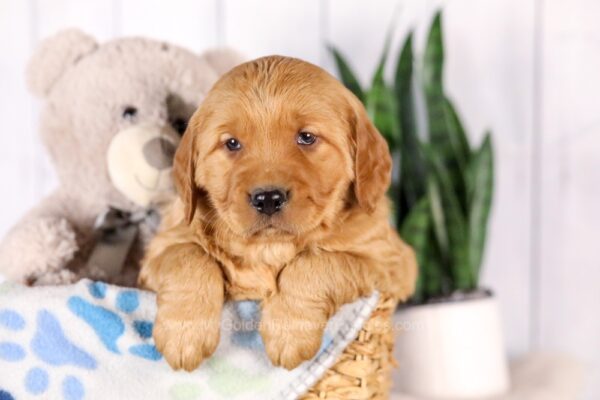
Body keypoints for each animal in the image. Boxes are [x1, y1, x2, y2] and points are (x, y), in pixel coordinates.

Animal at [139, 55, 418, 372]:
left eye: (306, 137)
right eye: (232, 143)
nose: (268, 199)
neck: (269, 248)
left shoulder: (389, 262)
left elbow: (318, 262)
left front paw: (289, 332)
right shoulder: (161, 249)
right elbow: (188, 255)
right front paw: (184, 334)